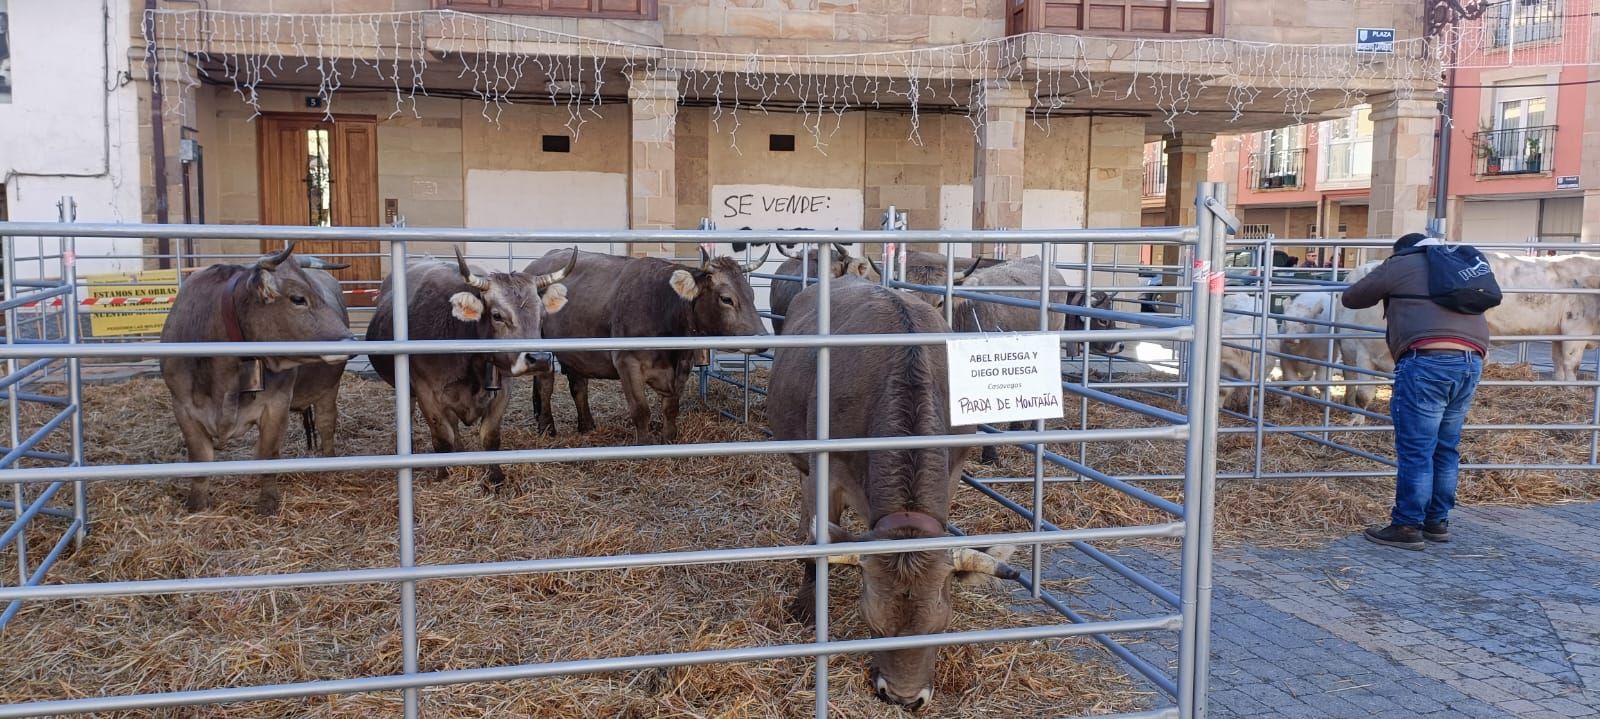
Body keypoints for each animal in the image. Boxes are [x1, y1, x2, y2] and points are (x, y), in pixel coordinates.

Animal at [366, 246, 576, 486]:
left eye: (542, 315)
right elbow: (442, 438)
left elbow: (490, 436)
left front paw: (496, 478)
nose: (539, 358)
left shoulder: (502, 389)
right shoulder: (427, 392)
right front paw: (443, 476)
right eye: (497, 315)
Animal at [528, 246, 771, 441]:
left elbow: (671, 408)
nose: (762, 340)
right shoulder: (628, 363)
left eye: (751, 294)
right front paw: (644, 444)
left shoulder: (682, 366)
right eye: (726, 299)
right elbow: (641, 411)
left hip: (576, 350)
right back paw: (547, 428)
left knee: (579, 385)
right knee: (545, 385)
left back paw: (587, 426)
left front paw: (669, 438)